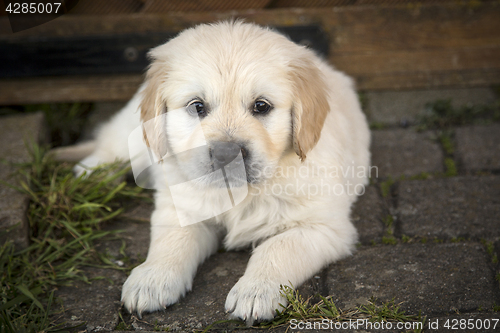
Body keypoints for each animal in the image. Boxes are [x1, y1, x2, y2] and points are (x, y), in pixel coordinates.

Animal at [75, 21, 372, 324]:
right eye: (197, 106)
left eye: (261, 106)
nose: (226, 154)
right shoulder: (180, 207)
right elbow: (171, 239)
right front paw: (152, 278)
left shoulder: (324, 227)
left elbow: (277, 248)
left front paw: (255, 291)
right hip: (134, 135)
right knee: (111, 143)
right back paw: (88, 174)